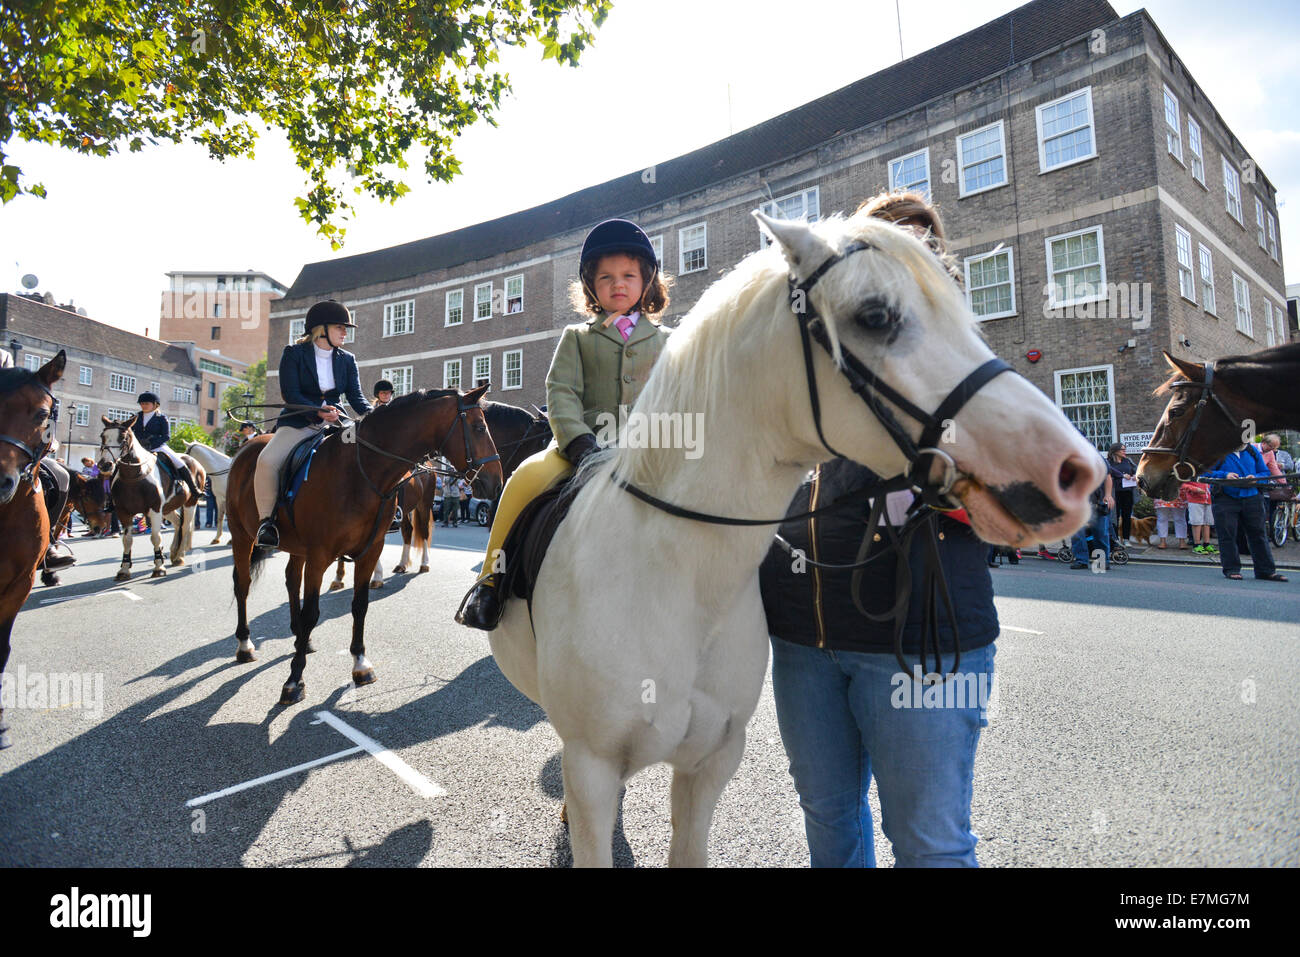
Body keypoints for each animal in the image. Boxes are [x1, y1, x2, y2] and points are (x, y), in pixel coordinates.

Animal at [98, 418, 206, 582]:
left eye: (123, 438)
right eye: (102, 436)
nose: (105, 465)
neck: (134, 476)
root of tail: (196, 463)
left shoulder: (155, 510)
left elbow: (156, 537)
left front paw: (159, 567)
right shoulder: (124, 512)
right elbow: (127, 540)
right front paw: (124, 569)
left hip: (190, 504)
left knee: (185, 526)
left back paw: (179, 556)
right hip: (168, 508)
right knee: (178, 523)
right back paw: (174, 552)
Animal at [228, 384, 501, 707]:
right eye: (479, 427)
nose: (496, 482)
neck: (360, 472)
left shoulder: (370, 549)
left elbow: (359, 605)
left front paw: (360, 664)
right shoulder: (319, 555)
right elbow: (312, 612)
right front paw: (294, 680)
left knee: (292, 580)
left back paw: (302, 639)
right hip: (242, 535)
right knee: (243, 584)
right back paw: (245, 644)